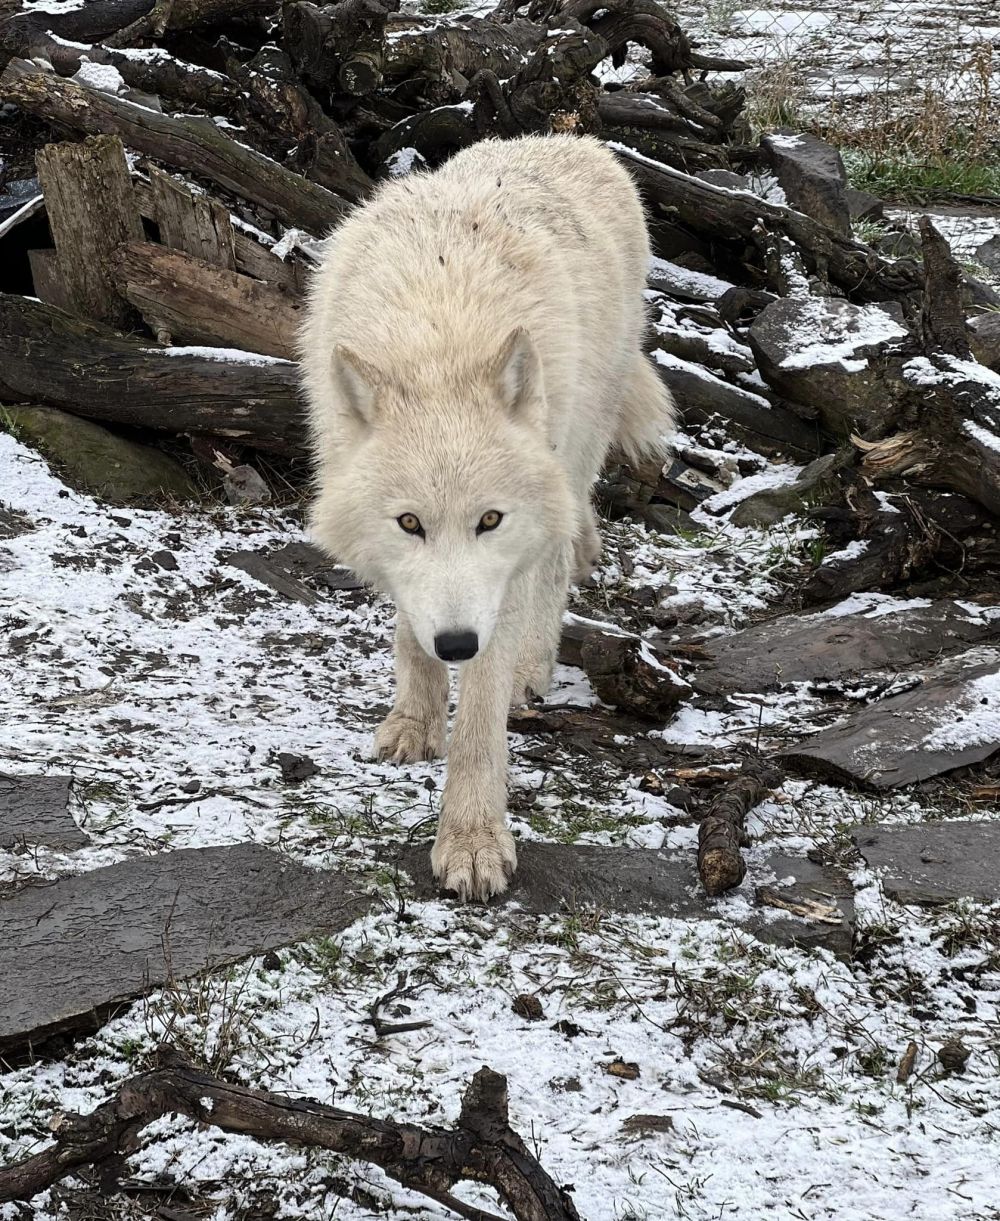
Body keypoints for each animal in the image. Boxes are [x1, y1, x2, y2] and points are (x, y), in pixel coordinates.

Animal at [296, 133, 673, 903]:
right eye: (410, 524)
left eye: (491, 520)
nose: (458, 643)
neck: (437, 334)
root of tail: (576, 140)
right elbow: (410, 635)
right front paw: (415, 720)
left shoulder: (502, 576)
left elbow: (478, 724)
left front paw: (472, 842)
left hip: (579, 442)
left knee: (559, 557)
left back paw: (533, 666)